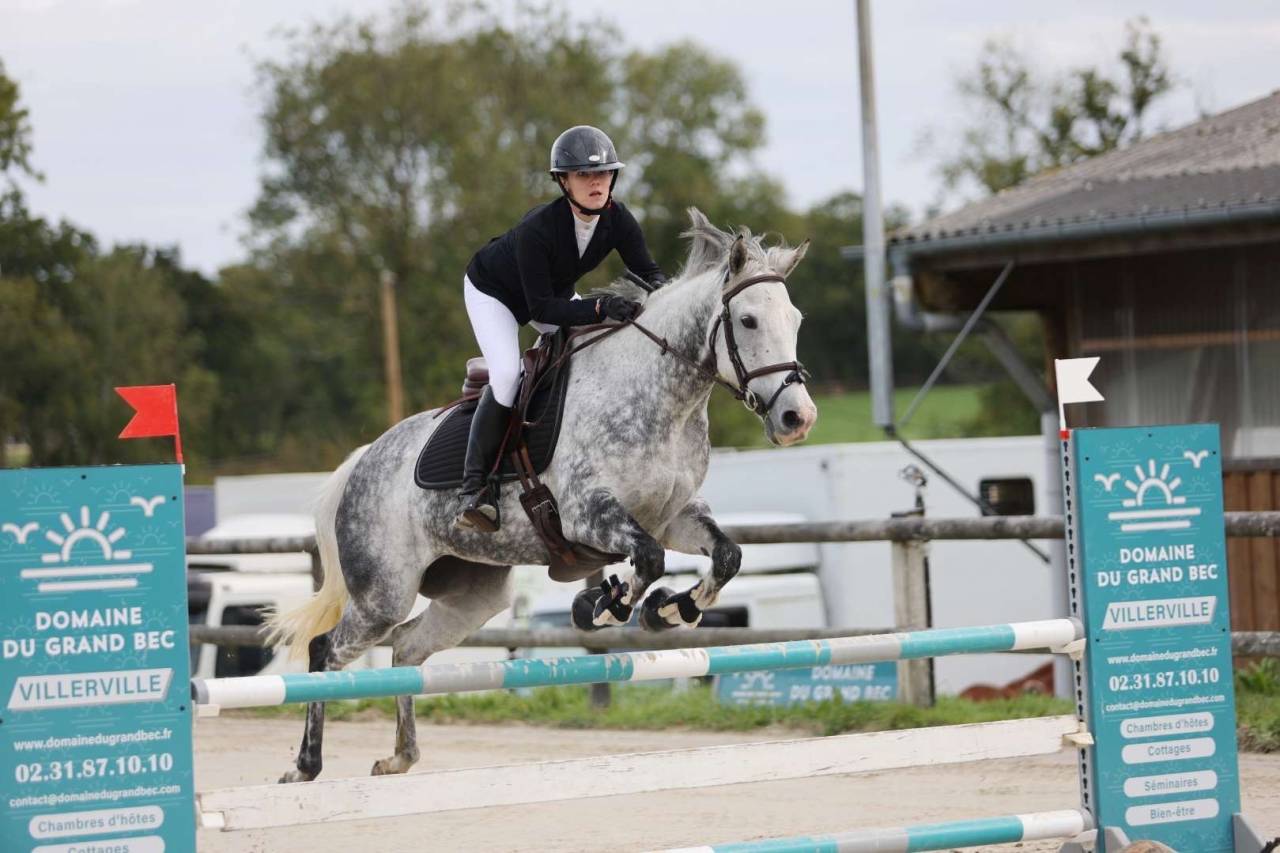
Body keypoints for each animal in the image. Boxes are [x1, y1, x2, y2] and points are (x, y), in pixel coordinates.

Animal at [266, 208, 818, 783]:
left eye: (795, 320)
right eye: (748, 321)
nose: (797, 418)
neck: (662, 399)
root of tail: (362, 462)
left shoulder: (673, 516)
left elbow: (725, 556)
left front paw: (670, 611)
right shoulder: (587, 514)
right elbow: (647, 559)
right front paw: (603, 607)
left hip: (474, 594)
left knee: (407, 649)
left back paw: (400, 756)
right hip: (383, 593)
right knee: (326, 650)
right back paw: (305, 766)